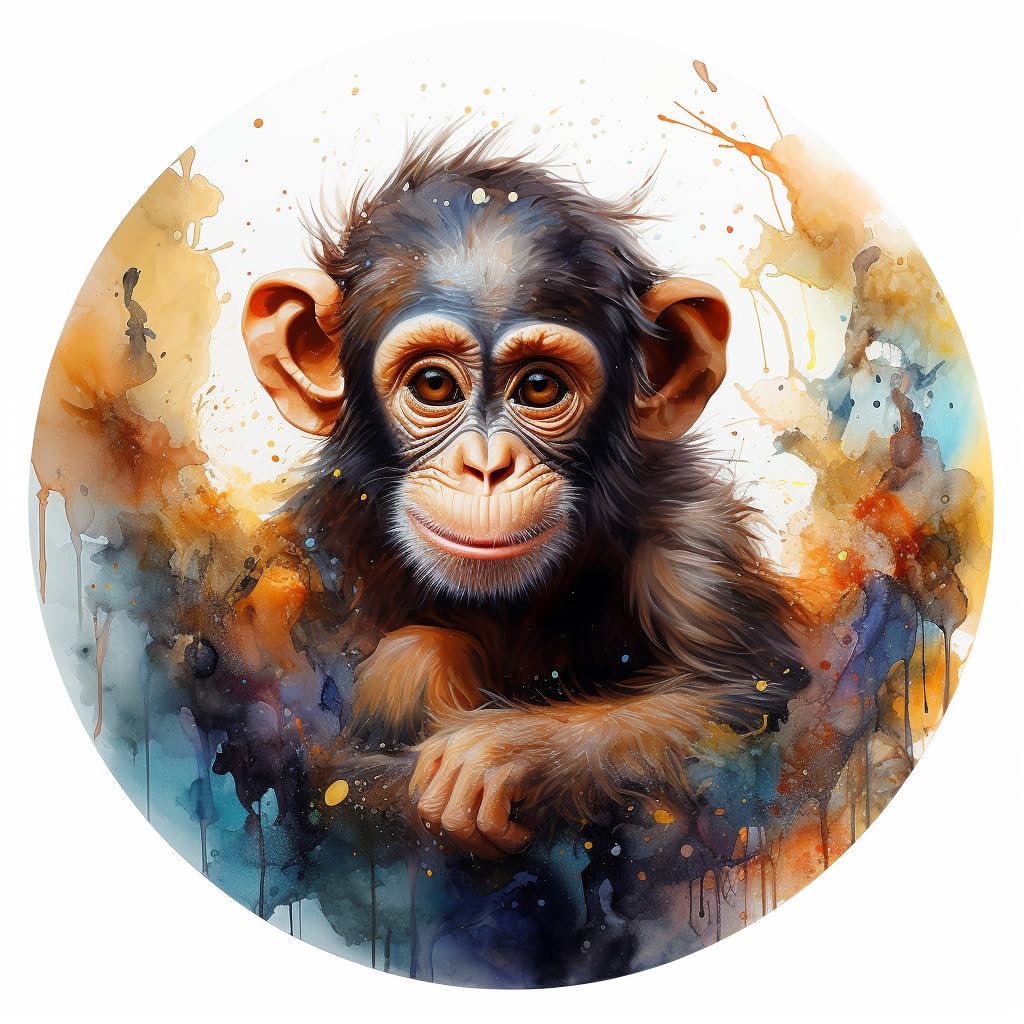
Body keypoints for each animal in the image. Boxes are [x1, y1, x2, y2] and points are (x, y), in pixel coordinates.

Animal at [241, 129, 809, 860]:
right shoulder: (291, 570)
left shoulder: (693, 535)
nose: (488, 467)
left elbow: (746, 695)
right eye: (433, 385)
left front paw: (499, 752)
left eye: (540, 387)